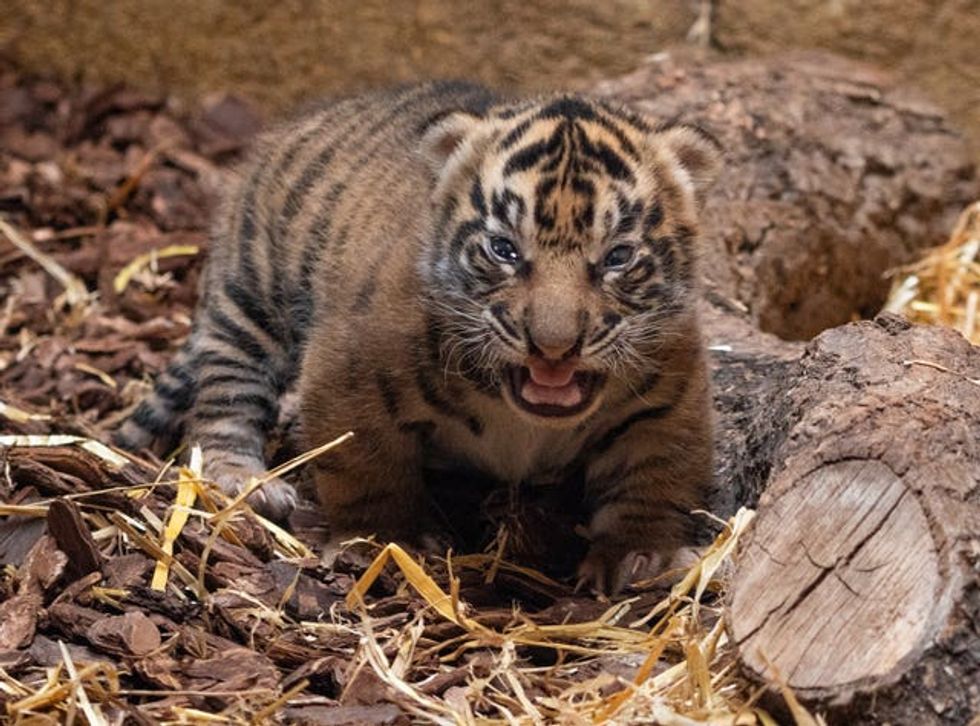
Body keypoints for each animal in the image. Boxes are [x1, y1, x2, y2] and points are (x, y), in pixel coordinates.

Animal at [116, 81, 721, 594]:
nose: (553, 346)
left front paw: (638, 556)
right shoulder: (348, 374)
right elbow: (367, 470)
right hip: (253, 294)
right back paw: (245, 478)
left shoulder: (668, 400)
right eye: (504, 250)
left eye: (617, 257)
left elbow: (653, 479)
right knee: (226, 387)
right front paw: (386, 543)